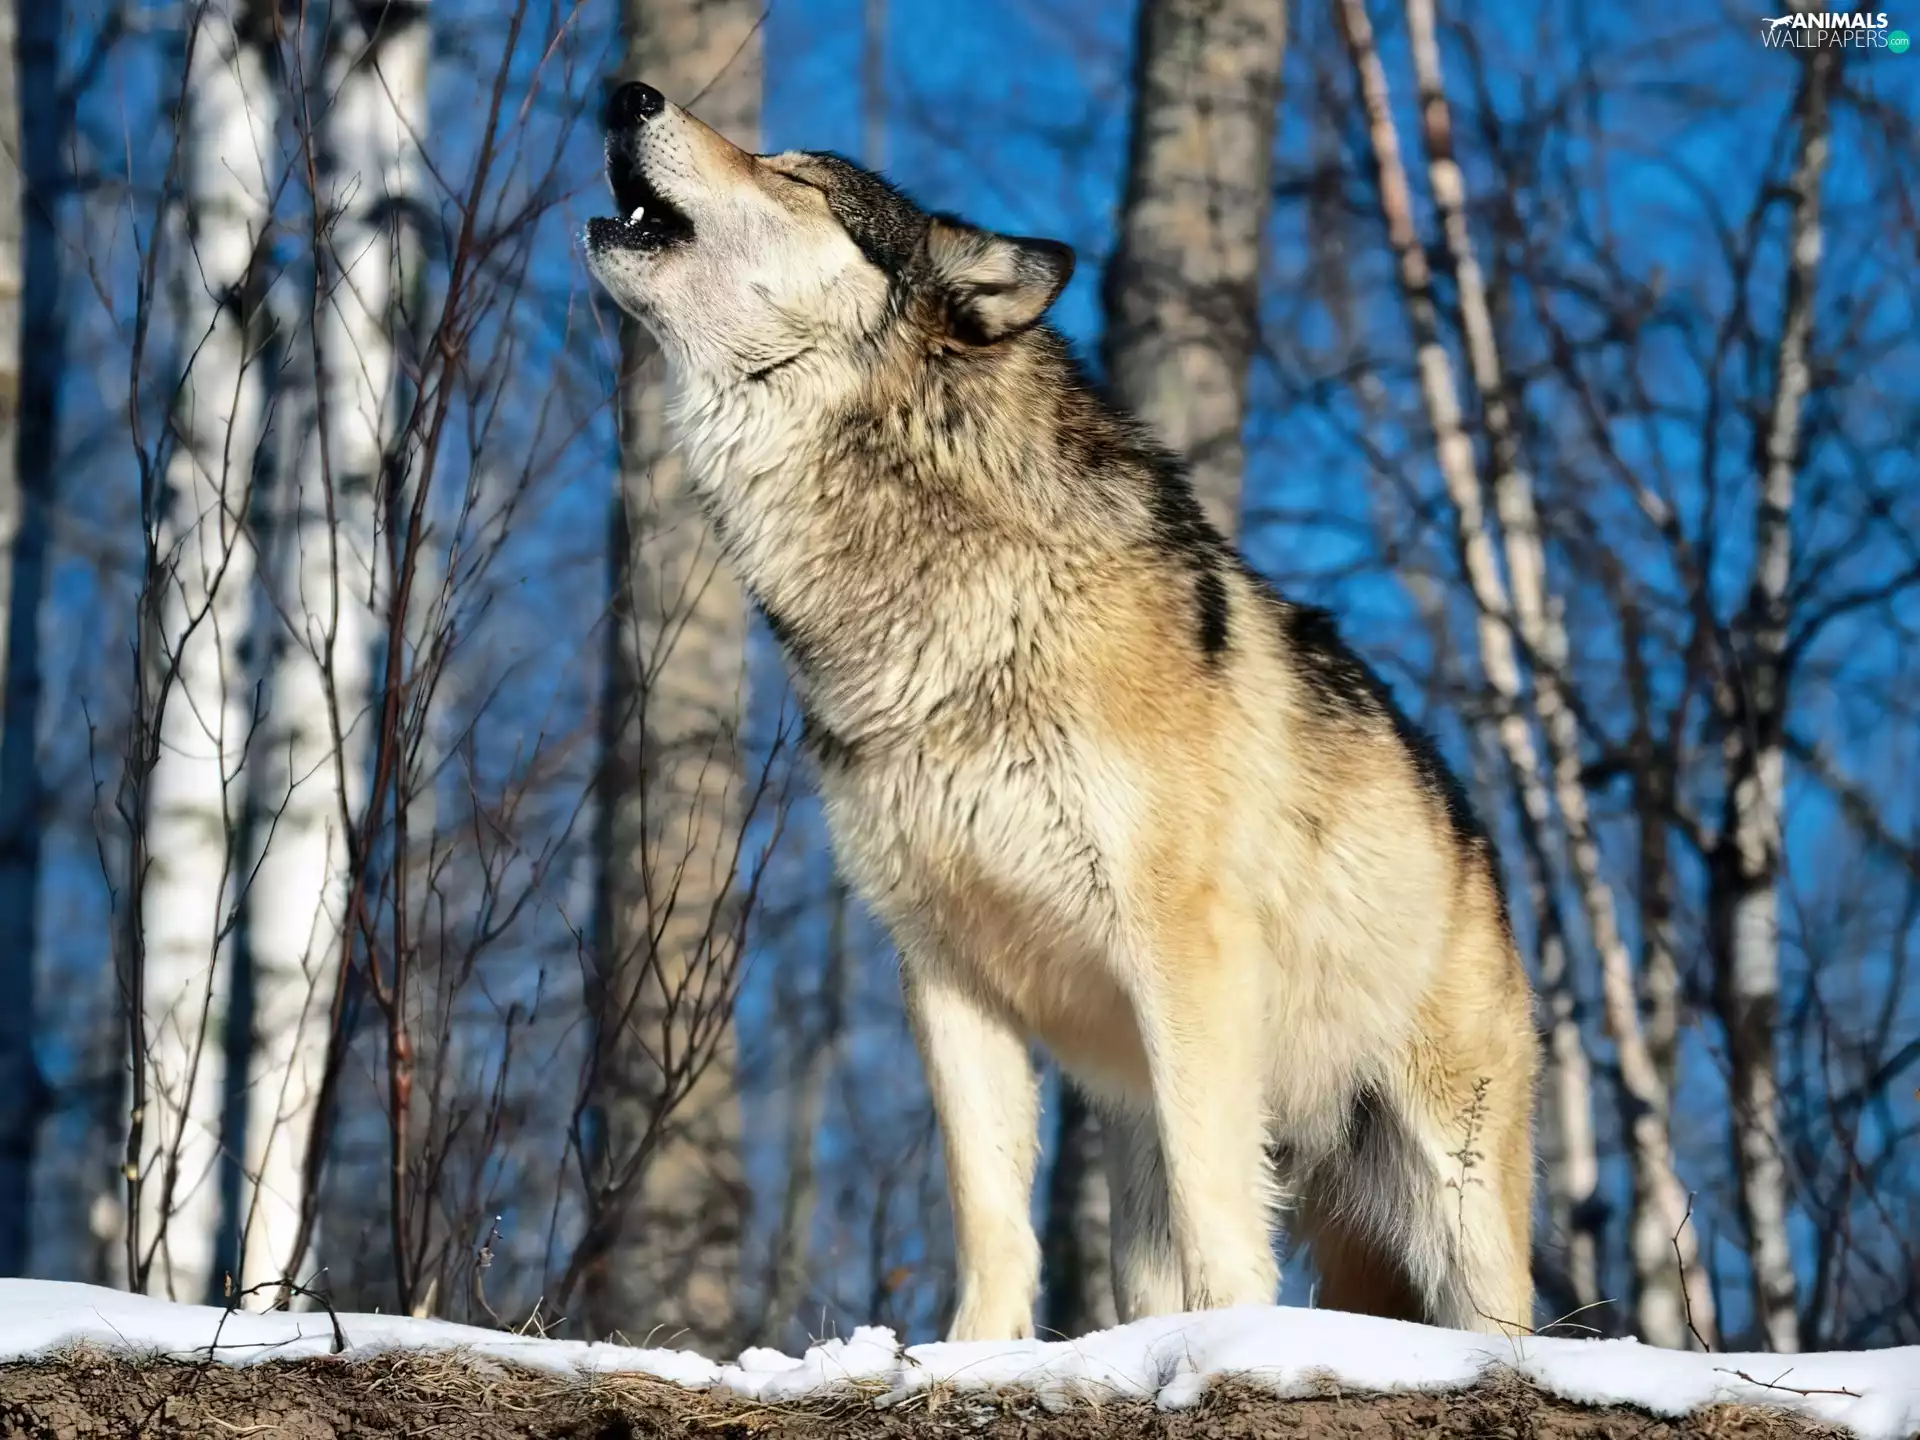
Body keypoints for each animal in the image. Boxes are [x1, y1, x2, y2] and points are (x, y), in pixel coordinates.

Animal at [585, 81, 1538, 1341]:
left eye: (795, 176)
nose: (626, 93)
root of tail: (1480, 842)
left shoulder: (1183, 950)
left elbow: (1220, 1204)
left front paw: (1231, 1344)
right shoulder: (945, 972)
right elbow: (991, 1212)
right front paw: (968, 1356)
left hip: (1450, 1191)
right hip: (1143, 1135)